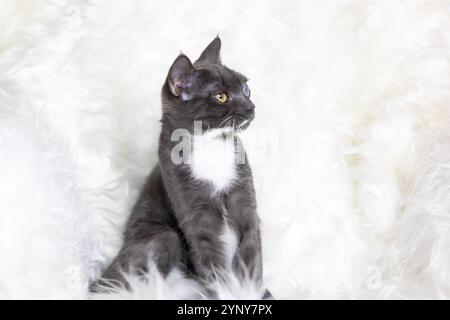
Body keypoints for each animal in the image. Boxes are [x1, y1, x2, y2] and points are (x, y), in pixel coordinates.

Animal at [91, 38, 268, 300]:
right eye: (221, 96)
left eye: (246, 88)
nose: (251, 107)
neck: (211, 146)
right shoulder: (195, 217)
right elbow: (212, 265)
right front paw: (228, 294)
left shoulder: (245, 203)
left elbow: (251, 256)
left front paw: (251, 293)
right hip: (164, 236)